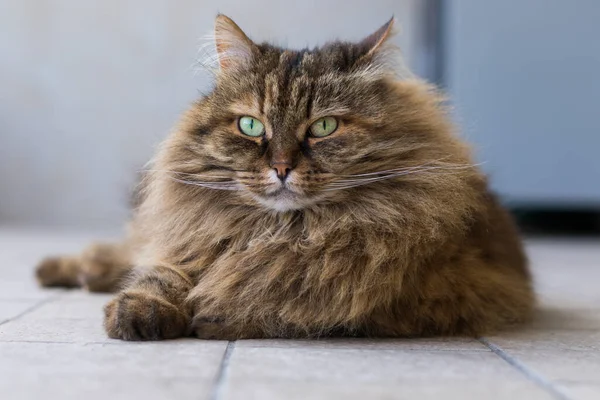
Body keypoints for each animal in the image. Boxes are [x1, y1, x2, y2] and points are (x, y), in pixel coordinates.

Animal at [35, 15, 536, 340]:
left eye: (324, 127)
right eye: (251, 126)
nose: (280, 167)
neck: (280, 231)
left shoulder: (435, 296)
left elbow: (291, 303)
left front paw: (217, 315)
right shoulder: (189, 242)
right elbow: (162, 273)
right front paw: (140, 311)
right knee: (124, 250)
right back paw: (65, 270)